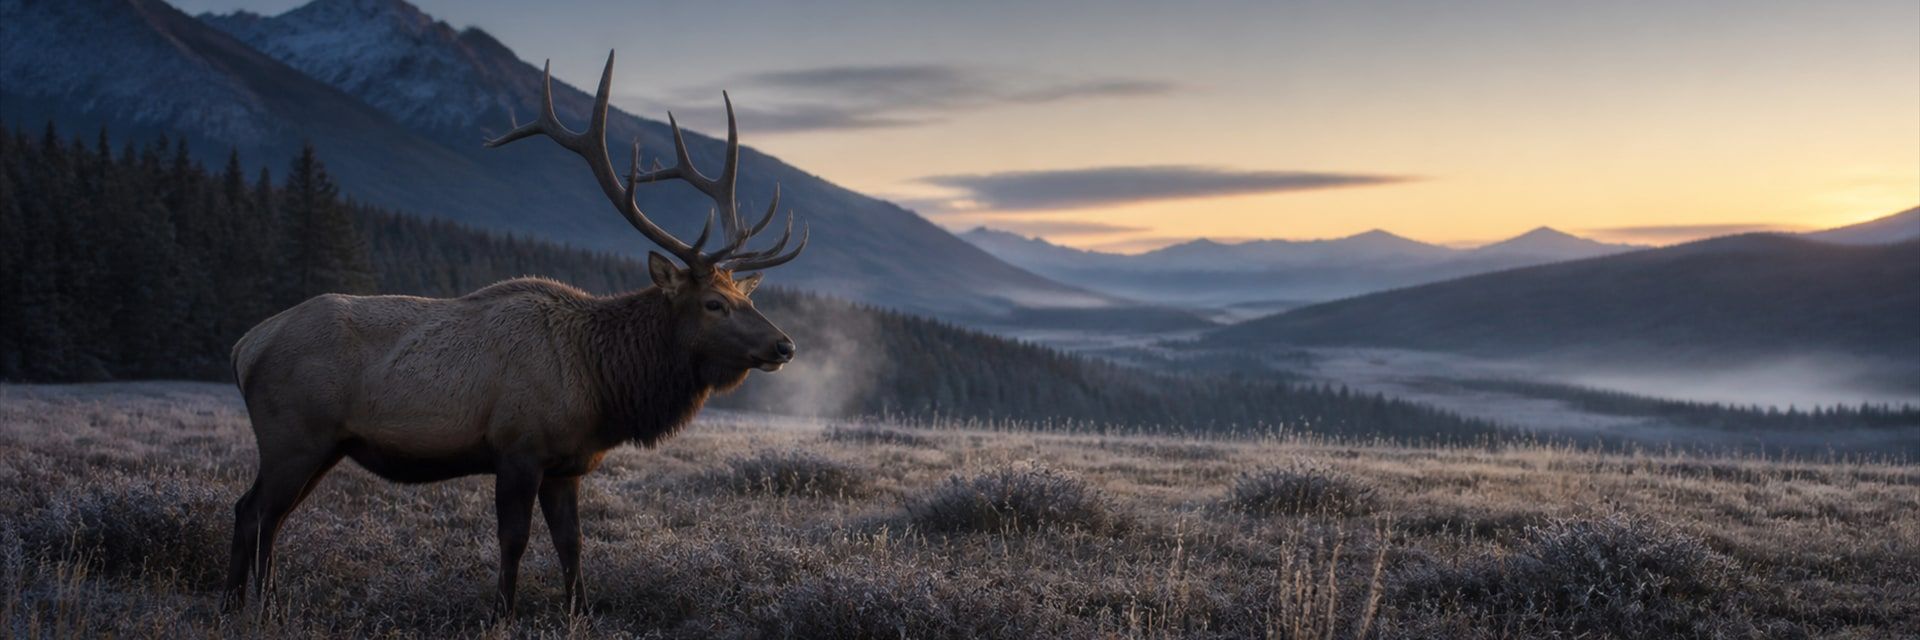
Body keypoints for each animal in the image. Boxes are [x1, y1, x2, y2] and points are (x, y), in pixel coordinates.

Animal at [223, 51, 807, 616]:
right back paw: (257, 608)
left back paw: (245, 605)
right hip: (293, 436)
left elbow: (573, 544)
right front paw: (500, 614)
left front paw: (579, 614)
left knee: (261, 516)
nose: (785, 345)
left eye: (748, 299)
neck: (603, 385)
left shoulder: (567, 465)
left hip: (325, 446)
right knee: (255, 512)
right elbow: (514, 541)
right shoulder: (518, 447)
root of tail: (244, 347)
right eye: (714, 303)